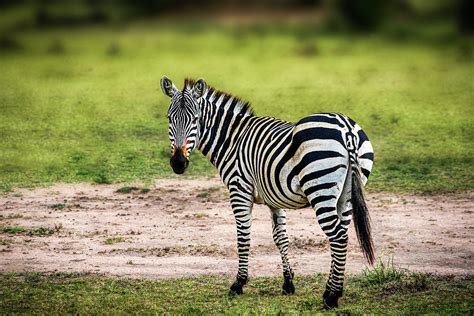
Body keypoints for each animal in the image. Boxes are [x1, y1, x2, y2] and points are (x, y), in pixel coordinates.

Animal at [161, 76, 376, 308]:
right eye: (169, 119)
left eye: (195, 119)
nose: (178, 163)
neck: (232, 140)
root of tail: (346, 129)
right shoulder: (274, 198)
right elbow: (280, 237)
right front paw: (288, 283)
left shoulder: (239, 190)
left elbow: (243, 236)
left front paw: (239, 283)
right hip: (346, 195)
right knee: (342, 234)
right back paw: (331, 289)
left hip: (320, 189)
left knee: (338, 237)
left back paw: (332, 297)